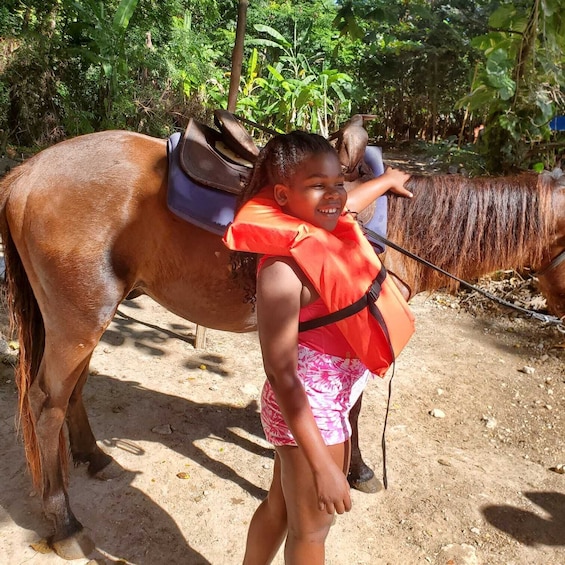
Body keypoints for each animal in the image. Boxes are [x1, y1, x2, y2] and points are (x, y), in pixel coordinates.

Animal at [0, 130, 560, 556]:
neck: (400, 229)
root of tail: (25, 175)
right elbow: (351, 409)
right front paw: (357, 470)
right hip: (79, 319)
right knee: (45, 402)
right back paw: (64, 523)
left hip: (86, 317)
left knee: (73, 390)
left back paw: (95, 457)